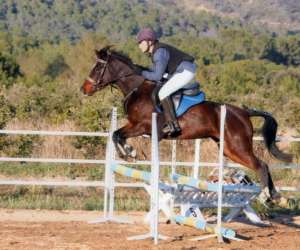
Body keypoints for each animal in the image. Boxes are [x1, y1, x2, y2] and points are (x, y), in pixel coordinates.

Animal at [81, 46, 292, 204]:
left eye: (97, 68)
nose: (84, 89)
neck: (137, 89)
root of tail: (243, 112)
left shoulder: (142, 126)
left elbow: (117, 134)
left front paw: (129, 153)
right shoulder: (134, 126)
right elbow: (116, 134)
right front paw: (130, 152)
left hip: (237, 147)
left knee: (261, 165)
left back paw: (266, 196)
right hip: (227, 149)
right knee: (262, 164)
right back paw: (276, 196)